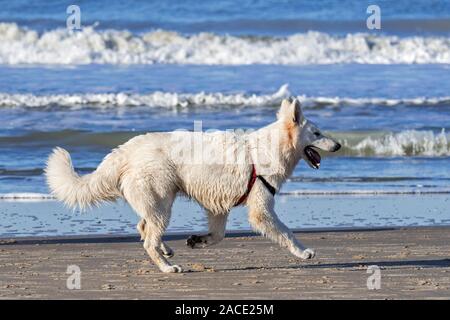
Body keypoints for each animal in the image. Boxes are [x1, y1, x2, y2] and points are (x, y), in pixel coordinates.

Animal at [46, 98, 342, 272]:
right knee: (148, 239)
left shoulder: (218, 207)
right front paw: (303, 252)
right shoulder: (261, 209)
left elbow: (218, 236)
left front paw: (199, 240)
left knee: (143, 227)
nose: (339, 145)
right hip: (162, 202)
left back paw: (166, 249)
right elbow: (287, 233)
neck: (269, 148)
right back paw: (166, 266)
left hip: (157, 203)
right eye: (317, 133)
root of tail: (125, 150)